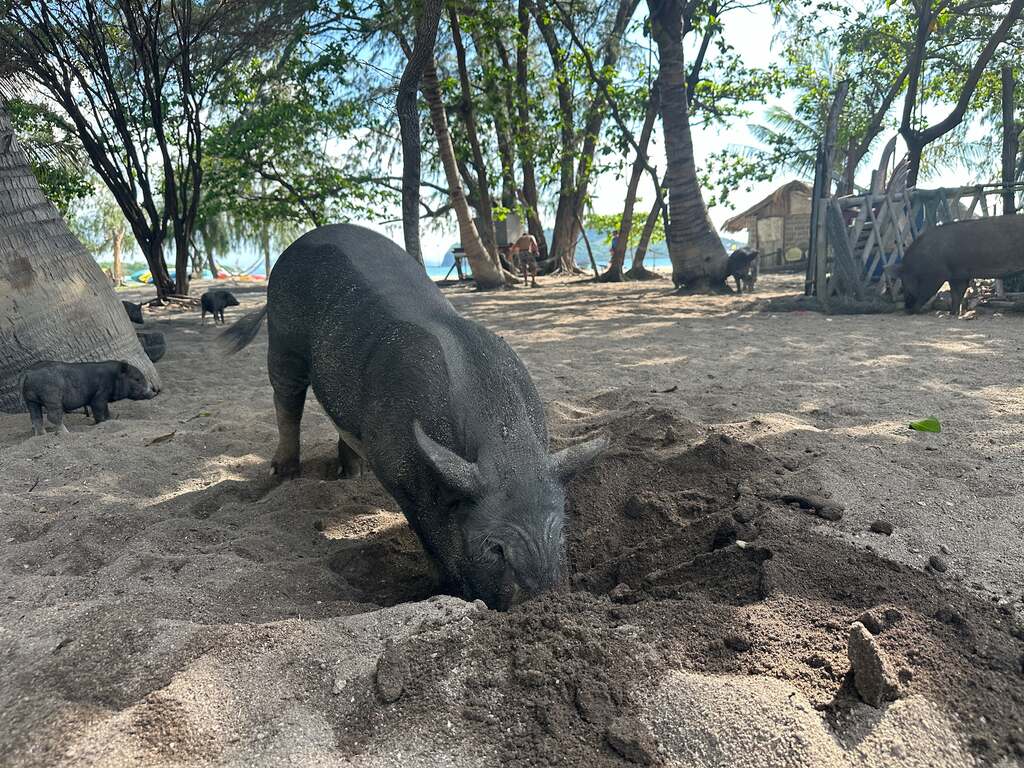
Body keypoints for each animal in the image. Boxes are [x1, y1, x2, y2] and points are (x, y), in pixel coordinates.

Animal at [22, 362, 159, 436]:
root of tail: (28, 373)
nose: (153, 392)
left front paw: (109, 420)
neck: (113, 377)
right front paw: (102, 422)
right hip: (52, 397)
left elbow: (106, 411)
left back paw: (42, 435)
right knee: (53, 416)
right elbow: (99, 410)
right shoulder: (99, 396)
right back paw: (66, 433)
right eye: (137, 379)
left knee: (36, 418)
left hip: (31, 400)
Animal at [224, 224, 606, 614]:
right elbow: (432, 536)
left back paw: (351, 476)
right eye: (494, 546)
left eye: (561, 532)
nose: (544, 599)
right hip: (282, 334)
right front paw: (448, 590)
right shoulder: (401, 472)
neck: (506, 446)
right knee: (287, 399)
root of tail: (301, 241)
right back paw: (285, 474)